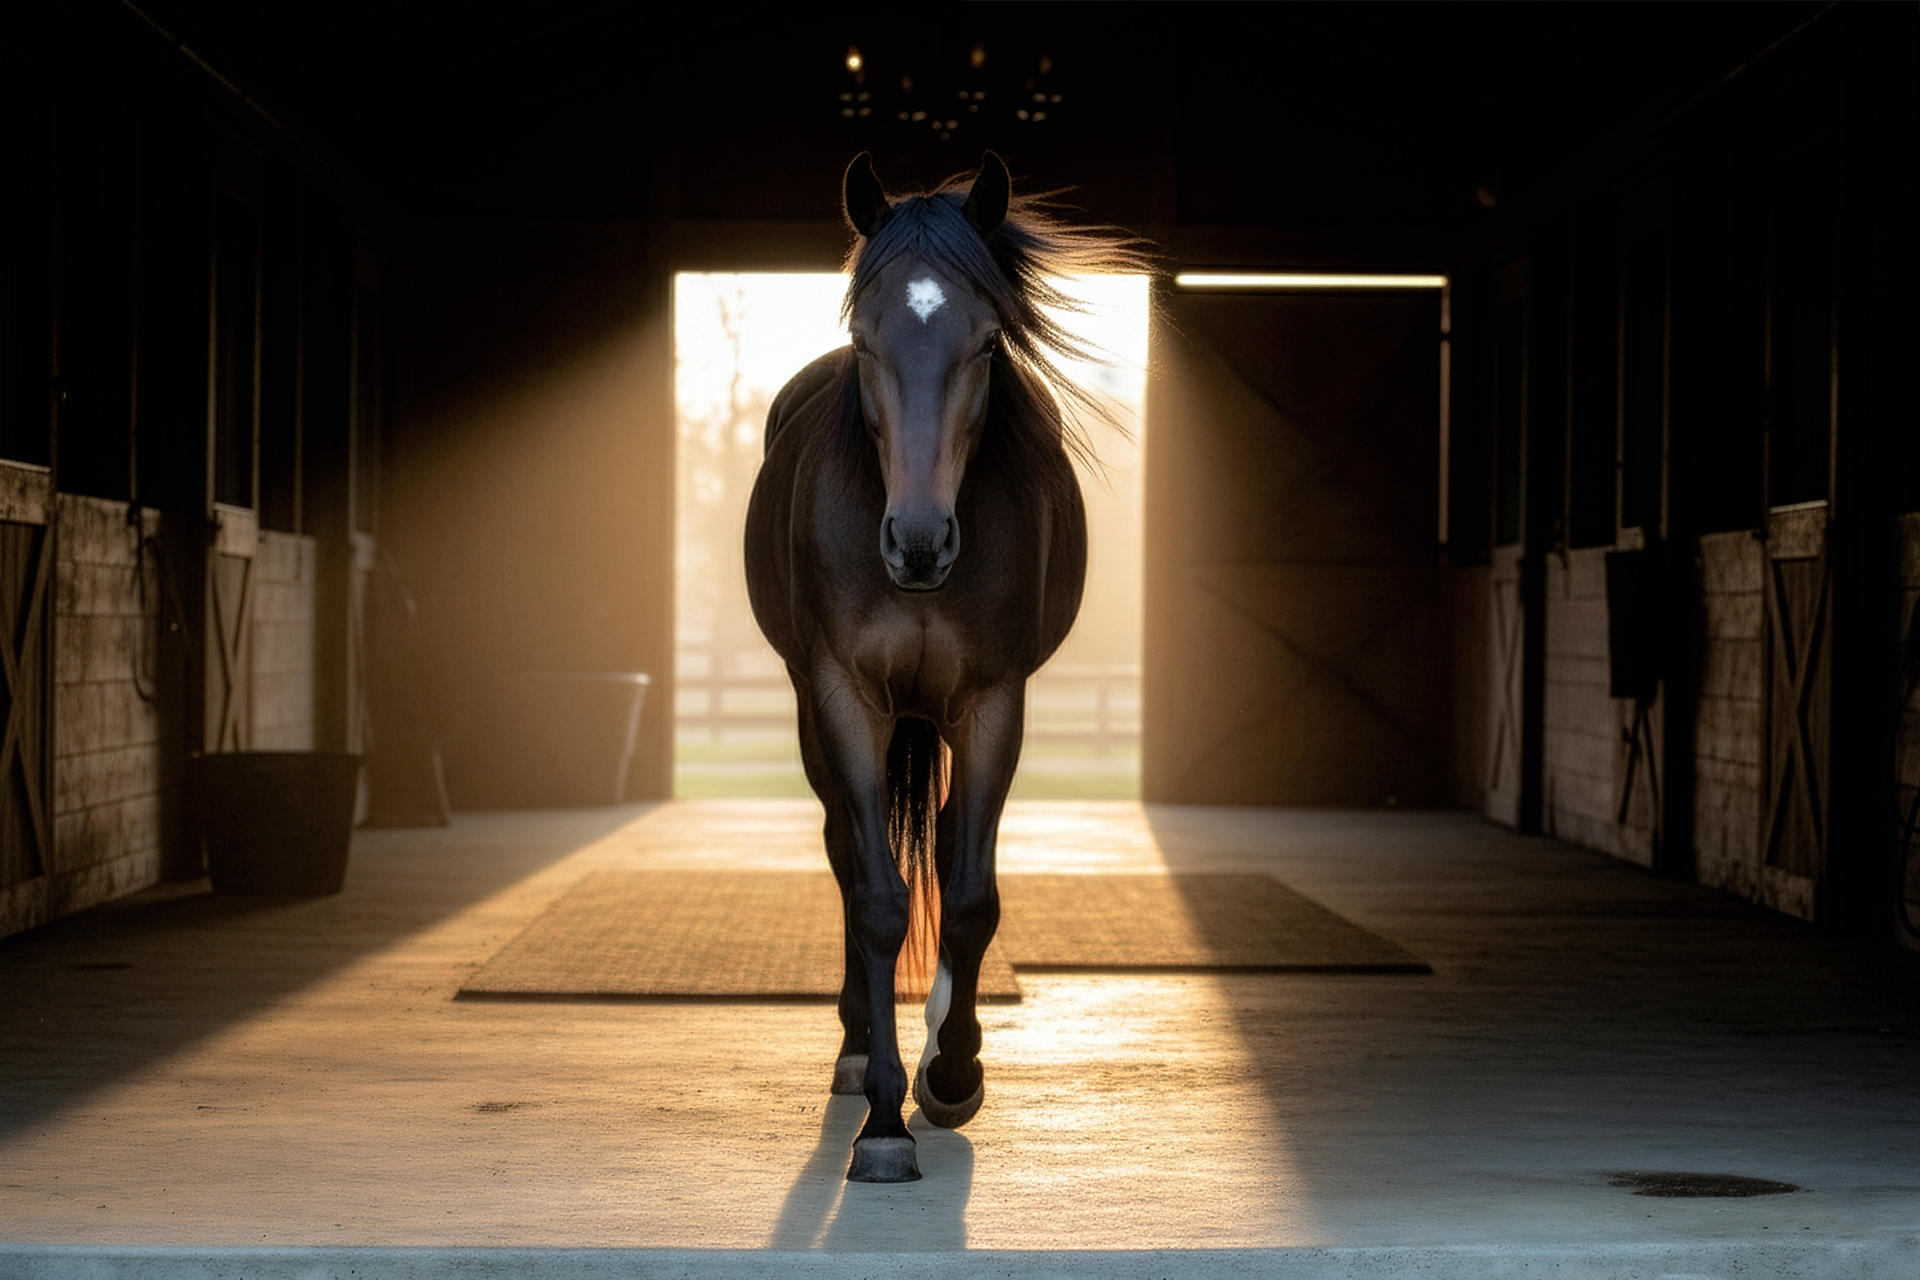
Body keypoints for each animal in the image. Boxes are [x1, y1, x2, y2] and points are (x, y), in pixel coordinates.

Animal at [744, 151, 1145, 1183]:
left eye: (987, 340)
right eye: (865, 336)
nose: (919, 542)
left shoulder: (994, 703)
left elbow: (967, 899)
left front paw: (952, 1073)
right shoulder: (845, 699)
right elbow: (881, 900)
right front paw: (885, 1121)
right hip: (817, 715)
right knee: (848, 860)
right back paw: (857, 1054)